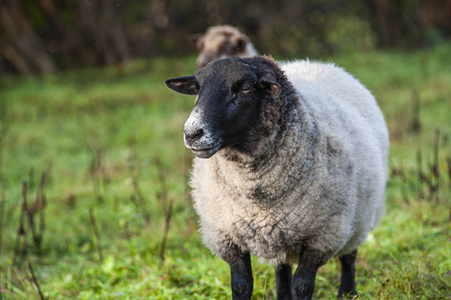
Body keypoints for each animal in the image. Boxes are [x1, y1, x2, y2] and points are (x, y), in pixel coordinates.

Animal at [164, 55, 390, 298]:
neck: (256, 194)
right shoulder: (227, 236)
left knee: (349, 256)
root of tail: (317, 63)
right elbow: (242, 285)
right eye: (198, 88)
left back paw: (348, 293)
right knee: (282, 268)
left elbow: (302, 286)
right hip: (280, 233)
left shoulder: (321, 238)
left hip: (360, 215)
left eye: (245, 88)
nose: (192, 134)